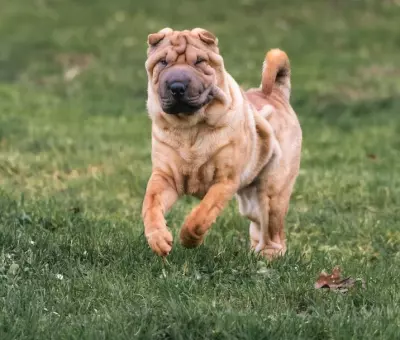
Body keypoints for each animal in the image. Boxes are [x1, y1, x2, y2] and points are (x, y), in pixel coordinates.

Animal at [142, 27, 302, 258]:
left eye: (200, 61)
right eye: (163, 62)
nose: (177, 86)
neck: (190, 127)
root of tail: (278, 95)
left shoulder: (225, 180)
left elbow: (202, 213)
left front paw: (188, 238)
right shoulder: (164, 176)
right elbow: (151, 205)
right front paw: (159, 239)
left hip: (273, 191)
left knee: (274, 228)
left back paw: (269, 255)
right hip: (251, 201)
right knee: (258, 224)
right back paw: (255, 253)